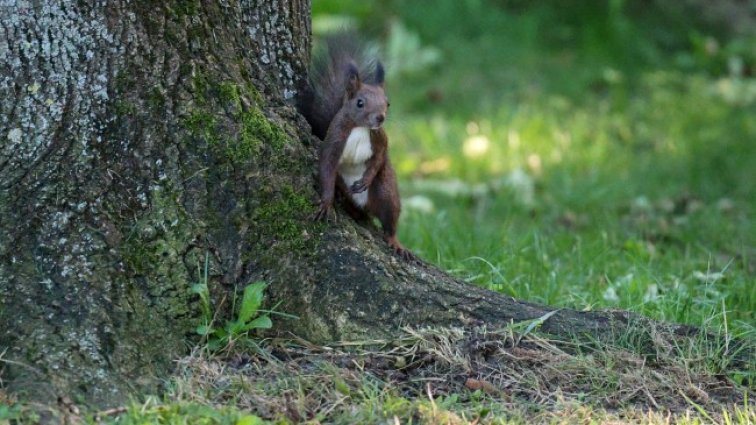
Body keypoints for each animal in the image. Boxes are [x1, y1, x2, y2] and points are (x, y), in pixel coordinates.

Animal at [296, 34, 414, 258]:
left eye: (387, 103)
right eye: (360, 102)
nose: (380, 118)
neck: (360, 128)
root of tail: (366, 207)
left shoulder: (380, 139)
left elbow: (379, 158)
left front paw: (365, 180)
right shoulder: (334, 140)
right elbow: (327, 167)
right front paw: (326, 203)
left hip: (386, 192)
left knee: (390, 219)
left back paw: (395, 242)